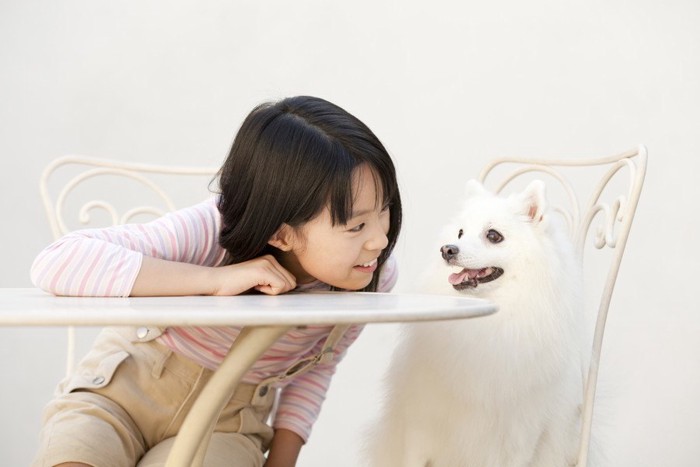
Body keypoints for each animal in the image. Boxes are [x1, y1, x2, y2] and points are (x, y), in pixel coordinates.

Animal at [366, 180, 584, 467]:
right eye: (460, 233)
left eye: (493, 235)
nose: (447, 249)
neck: (491, 316)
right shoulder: (421, 423)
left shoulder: (522, 435)